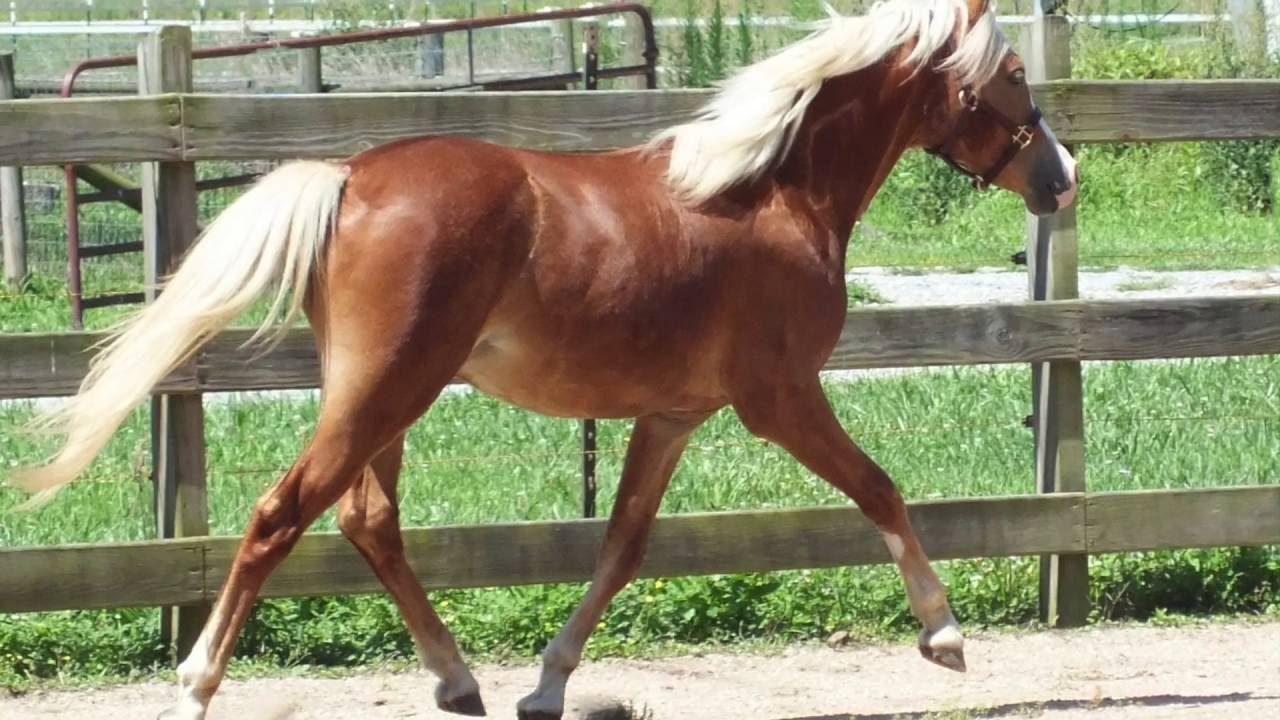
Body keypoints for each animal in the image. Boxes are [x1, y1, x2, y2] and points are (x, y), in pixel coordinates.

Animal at [15, 1, 1075, 712]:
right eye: (1014, 75)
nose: (1059, 177)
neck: (777, 194)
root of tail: (350, 176)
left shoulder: (672, 415)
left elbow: (622, 547)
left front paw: (548, 686)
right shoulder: (779, 398)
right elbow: (881, 489)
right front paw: (944, 635)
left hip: (386, 396)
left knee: (368, 521)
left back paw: (459, 682)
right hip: (385, 388)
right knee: (283, 515)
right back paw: (197, 684)